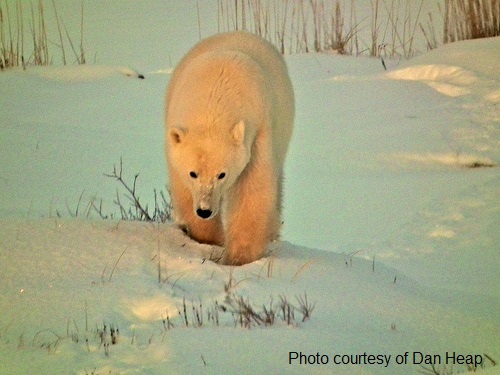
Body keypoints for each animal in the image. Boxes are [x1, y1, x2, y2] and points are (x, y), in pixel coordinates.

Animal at [166, 33, 292, 268]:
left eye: (222, 174)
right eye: (193, 173)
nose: (204, 210)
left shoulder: (258, 129)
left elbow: (252, 189)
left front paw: (239, 258)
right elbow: (183, 190)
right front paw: (209, 238)